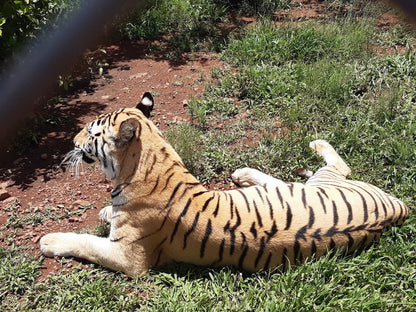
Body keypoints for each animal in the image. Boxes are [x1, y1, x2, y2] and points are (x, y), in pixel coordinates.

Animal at [39, 91, 410, 276]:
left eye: (90, 133)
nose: (71, 140)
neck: (151, 157)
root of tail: (399, 208)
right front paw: (106, 212)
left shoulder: (129, 257)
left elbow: (86, 242)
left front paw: (50, 240)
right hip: (300, 188)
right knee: (282, 181)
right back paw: (243, 174)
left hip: (328, 179)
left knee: (340, 164)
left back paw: (313, 144)